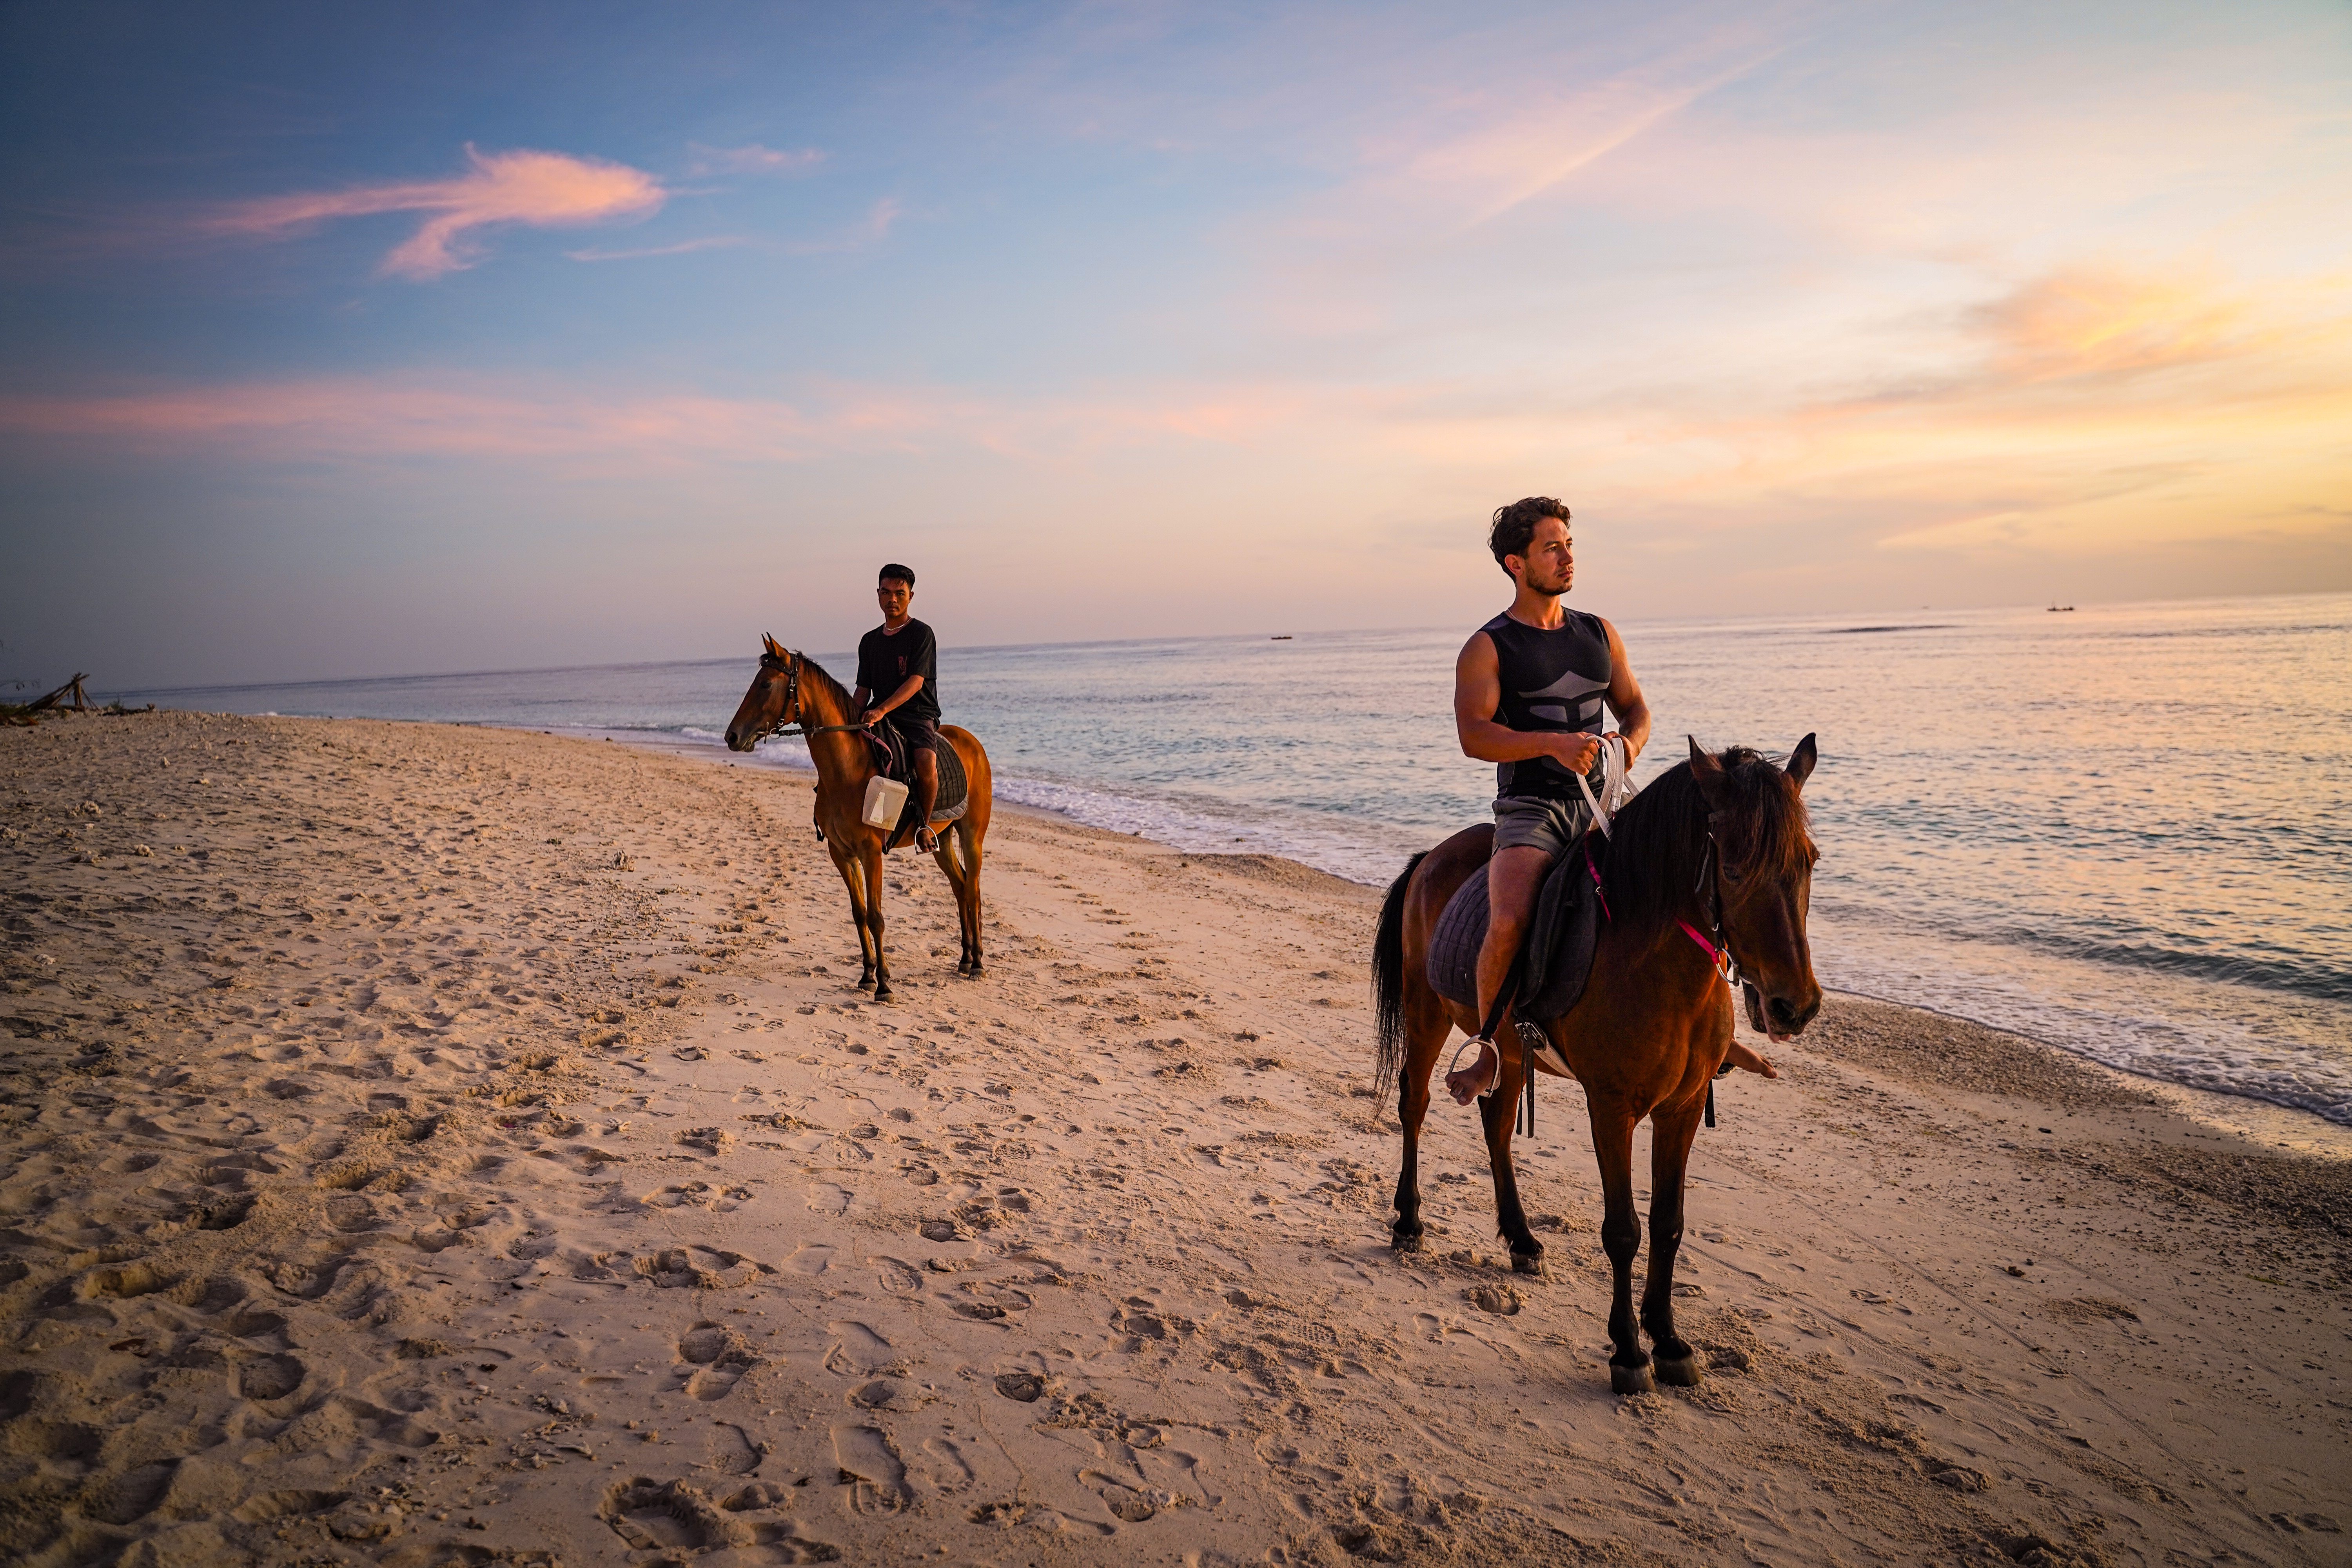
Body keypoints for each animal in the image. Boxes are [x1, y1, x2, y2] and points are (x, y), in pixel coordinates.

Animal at [729, 639, 997, 1001]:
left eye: (766, 685)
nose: (732, 736)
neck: (847, 769)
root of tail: (972, 743)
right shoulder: (841, 854)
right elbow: (858, 915)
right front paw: (868, 975)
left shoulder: (871, 855)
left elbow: (876, 917)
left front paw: (884, 983)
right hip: (942, 840)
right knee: (960, 886)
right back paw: (966, 958)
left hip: (972, 836)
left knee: (973, 889)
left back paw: (978, 962)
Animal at [1374, 738, 1825, 1401]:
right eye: (1736, 869)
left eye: (1810, 861)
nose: (1795, 1006)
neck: (1655, 962)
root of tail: (1433, 856)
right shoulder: (1611, 1109)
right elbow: (1624, 1230)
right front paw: (1629, 1354)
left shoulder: (1683, 1107)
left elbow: (1668, 1223)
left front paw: (1668, 1340)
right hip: (1426, 1010)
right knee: (1415, 1103)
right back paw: (1409, 1220)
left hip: (1511, 1049)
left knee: (1496, 1123)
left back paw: (1521, 1238)